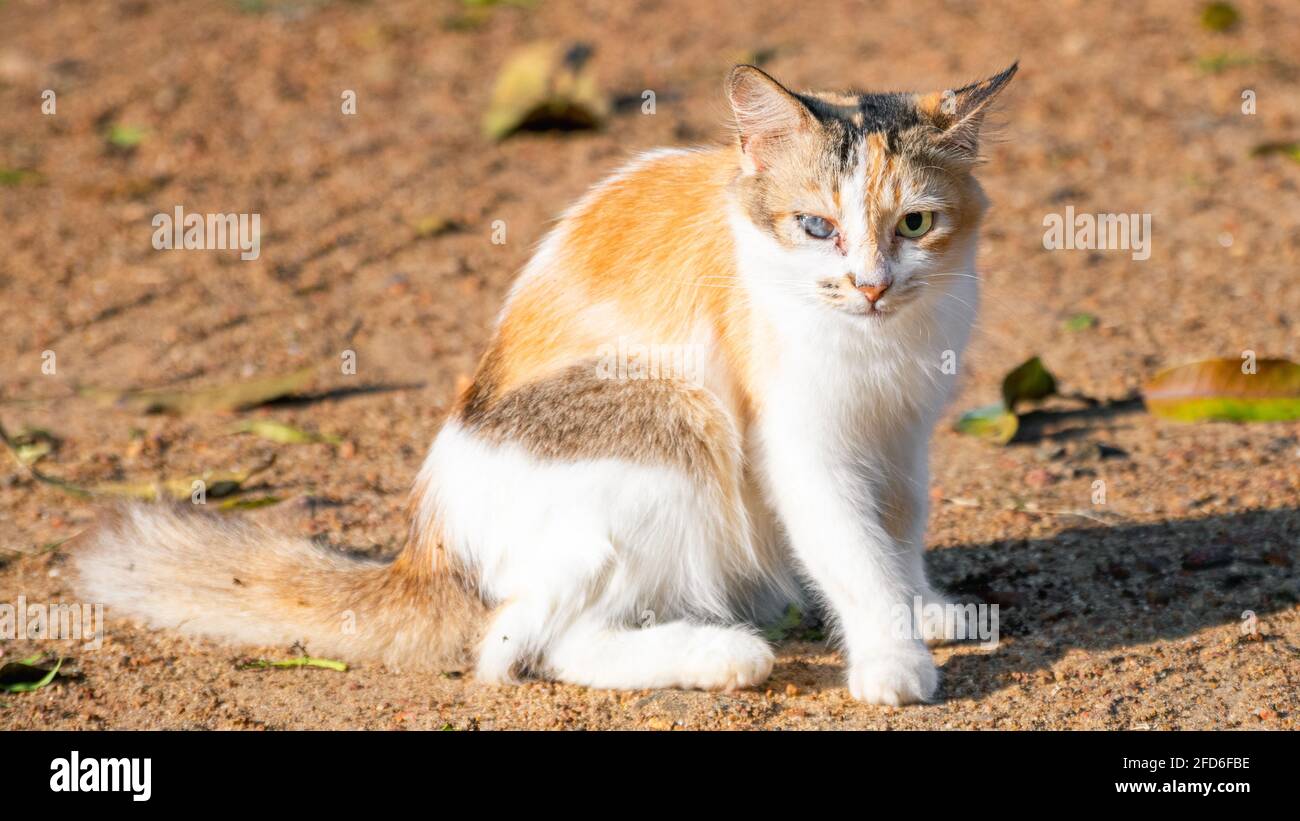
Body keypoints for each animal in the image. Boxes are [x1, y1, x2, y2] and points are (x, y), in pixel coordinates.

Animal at [73, 64, 1013, 706]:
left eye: (915, 223)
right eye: (816, 227)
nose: (871, 286)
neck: (879, 345)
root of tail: (430, 546)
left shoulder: (901, 432)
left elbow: (898, 527)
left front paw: (923, 606)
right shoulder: (803, 448)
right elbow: (853, 552)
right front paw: (893, 657)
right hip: (673, 421)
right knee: (521, 644)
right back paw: (721, 653)